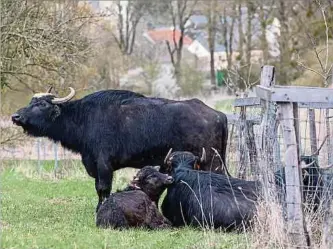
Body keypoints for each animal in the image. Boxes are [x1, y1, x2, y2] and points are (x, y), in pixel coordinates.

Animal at [11, 87, 228, 210]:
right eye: (31, 102)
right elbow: (98, 188)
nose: (15, 116)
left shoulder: (104, 164)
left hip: (212, 161)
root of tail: (218, 114)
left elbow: (103, 188)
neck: (84, 119)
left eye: (41, 104)